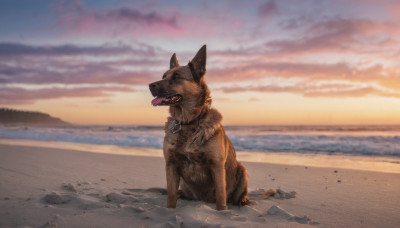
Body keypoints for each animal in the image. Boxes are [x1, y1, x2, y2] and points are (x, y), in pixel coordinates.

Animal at [148, 44, 252, 210]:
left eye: (176, 77)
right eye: (163, 76)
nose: (150, 85)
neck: (188, 122)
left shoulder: (216, 166)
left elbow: (221, 197)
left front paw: (222, 211)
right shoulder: (171, 164)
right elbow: (171, 196)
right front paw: (170, 209)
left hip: (242, 169)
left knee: (238, 196)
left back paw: (242, 201)